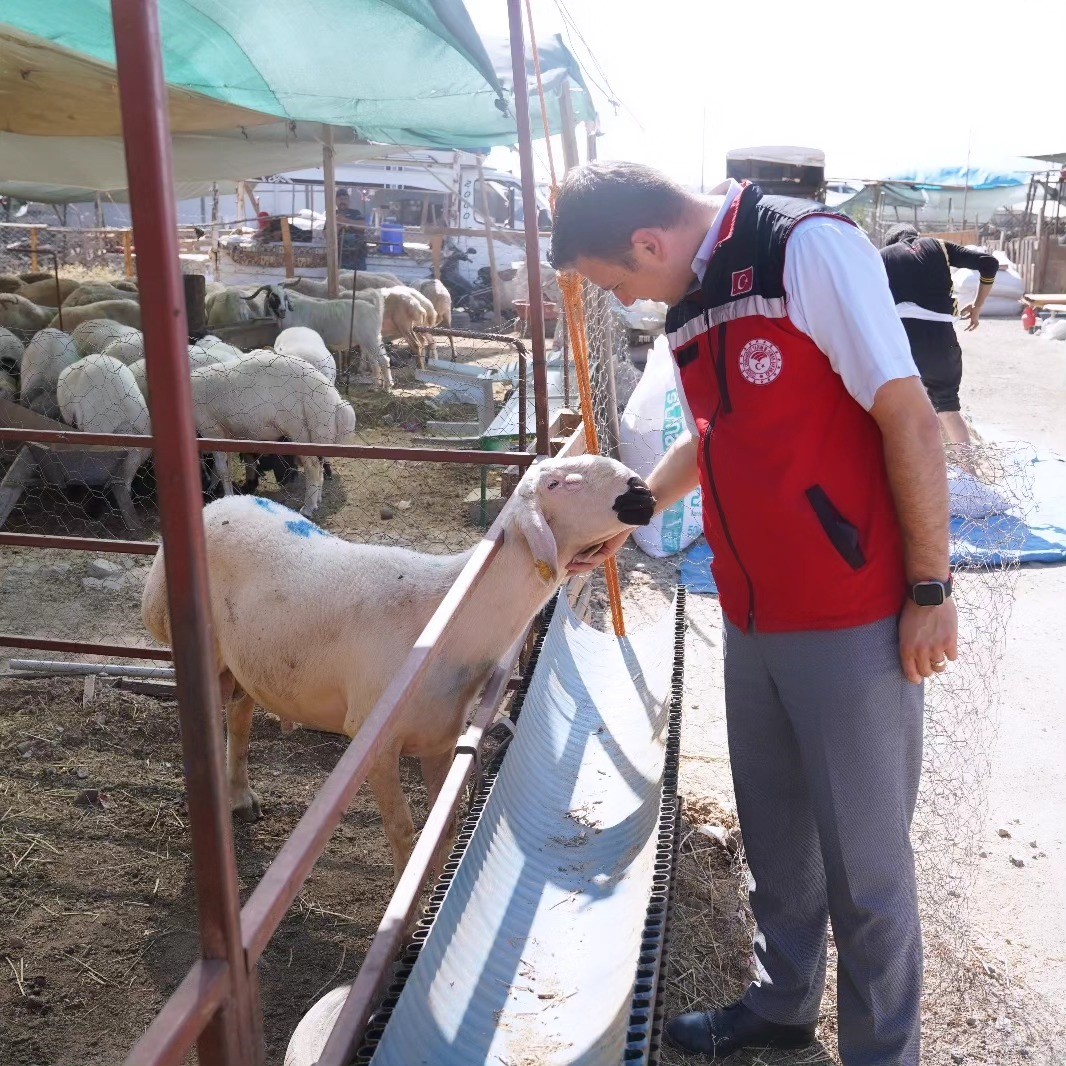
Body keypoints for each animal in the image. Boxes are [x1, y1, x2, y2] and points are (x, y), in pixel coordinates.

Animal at [138, 454, 652, 878]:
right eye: (559, 483)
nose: (642, 492)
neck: (447, 612)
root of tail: (221, 504)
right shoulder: (374, 739)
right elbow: (404, 830)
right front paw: (404, 903)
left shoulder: (441, 736)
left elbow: (443, 827)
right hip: (191, 642)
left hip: (250, 658)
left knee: (241, 713)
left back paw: (242, 797)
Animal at [189, 351, 356, 513]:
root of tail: (333, 399)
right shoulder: (225, 436)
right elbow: (224, 468)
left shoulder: (212, 430)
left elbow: (222, 469)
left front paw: (226, 496)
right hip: (317, 432)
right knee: (319, 465)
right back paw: (317, 498)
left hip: (300, 430)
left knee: (313, 466)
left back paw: (308, 507)